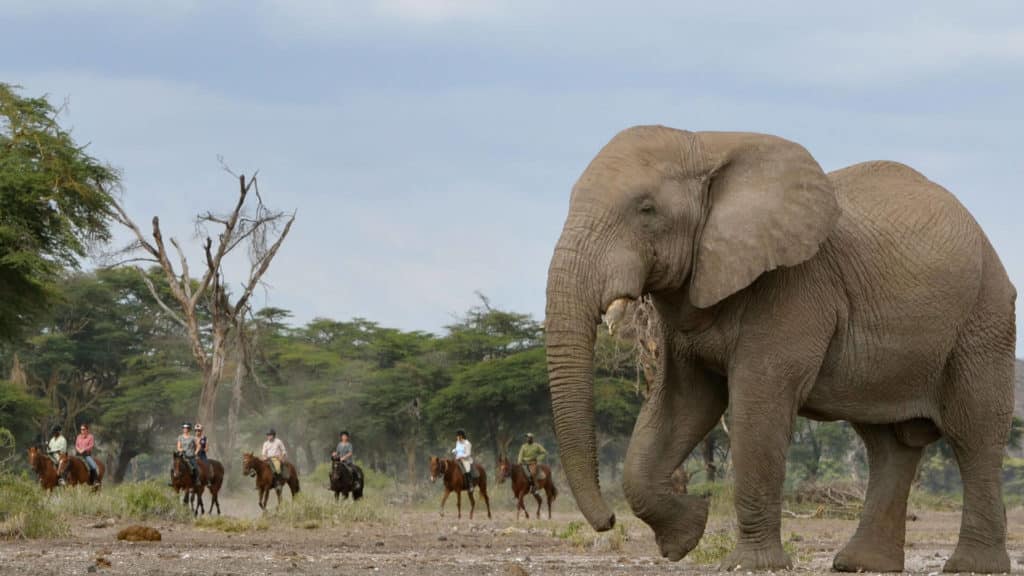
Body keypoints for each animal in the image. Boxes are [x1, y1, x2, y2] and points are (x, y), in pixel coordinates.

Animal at [545, 125, 1016, 572]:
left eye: (646, 210)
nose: (607, 521)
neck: (708, 146)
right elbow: (681, 406)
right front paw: (686, 534)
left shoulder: (795, 286)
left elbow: (758, 407)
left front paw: (747, 565)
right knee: (887, 445)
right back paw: (859, 564)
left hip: (984, 317)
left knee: (973, 432)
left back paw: (972, 567)